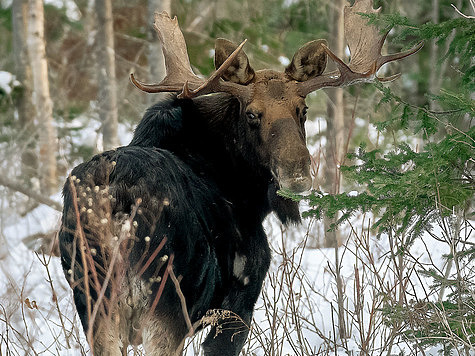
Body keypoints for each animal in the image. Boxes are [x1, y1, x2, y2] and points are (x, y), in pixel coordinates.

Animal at [57, 1, 422, 354]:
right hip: (167, 303)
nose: (297, 174)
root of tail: (115, 200)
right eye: (252, 115)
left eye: (302, 110)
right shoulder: (242, 296)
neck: (248, 196)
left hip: (93, 303)